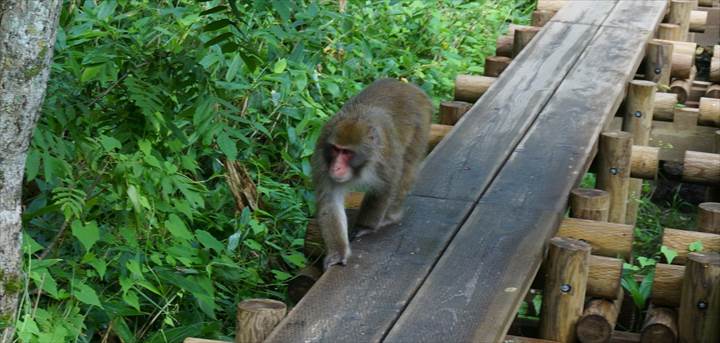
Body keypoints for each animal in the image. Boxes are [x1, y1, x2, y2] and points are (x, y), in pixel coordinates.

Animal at [310, 79, 434, 270]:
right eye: (336, 150)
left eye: (347, 153)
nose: (336, 167)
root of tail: (409, 86)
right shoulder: (322, 156)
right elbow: (330, 199)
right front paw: (338, 252)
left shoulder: (386, 156)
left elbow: (386, 187)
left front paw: (365, 227)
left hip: (421, 126)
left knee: (406, 171)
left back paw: (391, 217)